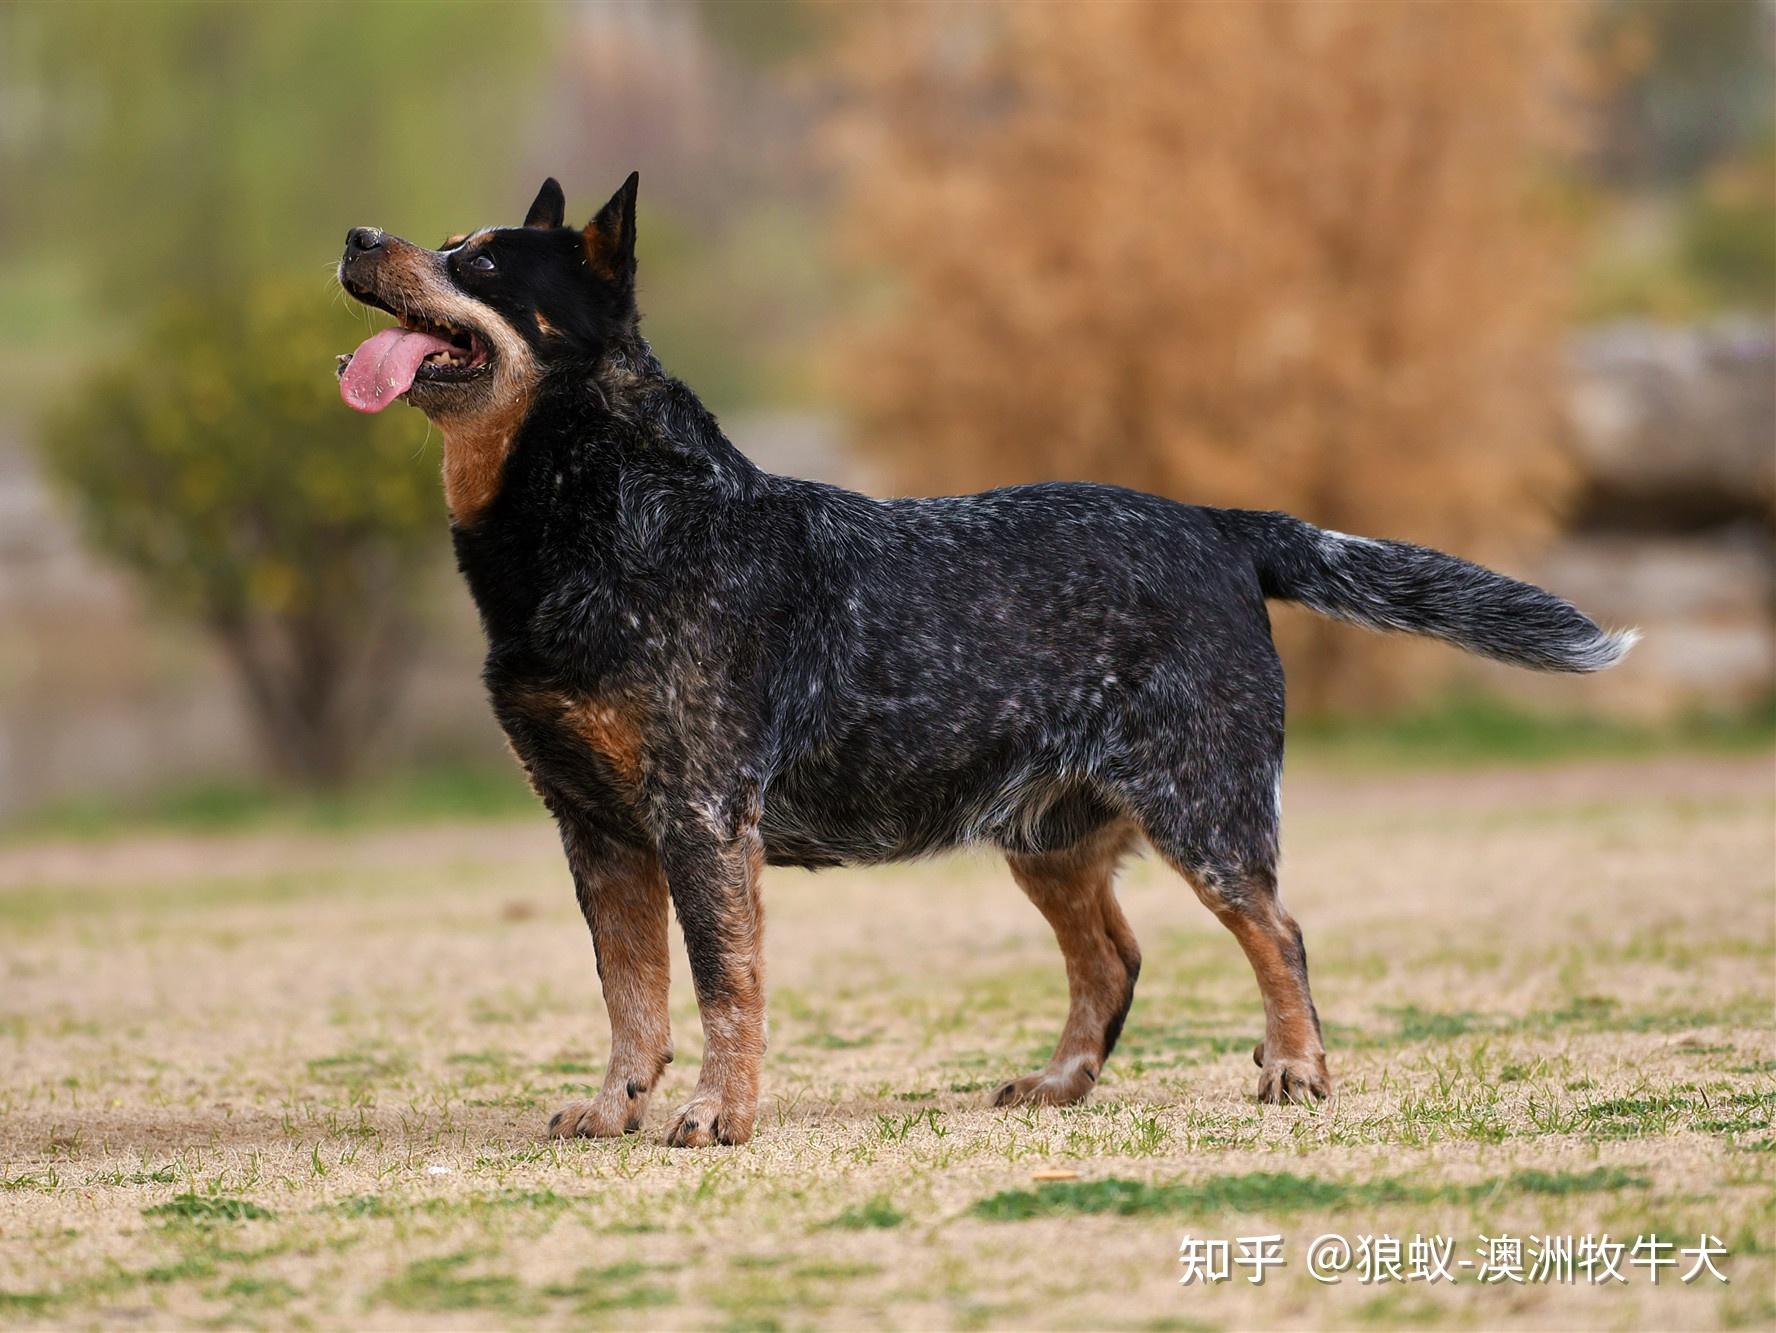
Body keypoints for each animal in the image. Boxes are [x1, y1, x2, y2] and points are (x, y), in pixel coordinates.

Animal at [335, 169, 1633, 1150]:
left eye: (482, 264)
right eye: (444, 243)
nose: (354, 234)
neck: (608, 513)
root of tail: (1221, 525)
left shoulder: (702, 814)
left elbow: (721, 985)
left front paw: (717, 1114)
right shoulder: (596, 829)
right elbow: (630, 993)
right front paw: (613, 1109)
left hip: (1205, 808)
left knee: (1279, 930)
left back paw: (1297, 1070)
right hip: (1048, 837)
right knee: (1114, 958)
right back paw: (1060, 1084)